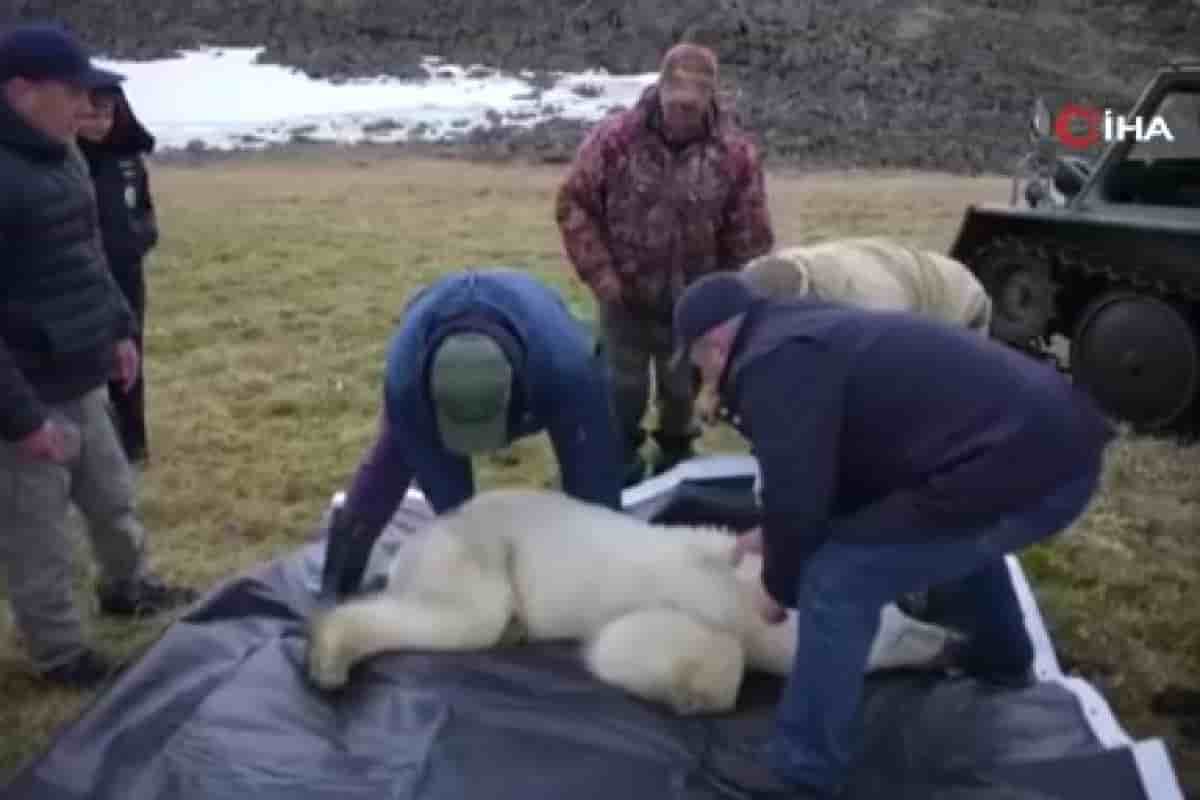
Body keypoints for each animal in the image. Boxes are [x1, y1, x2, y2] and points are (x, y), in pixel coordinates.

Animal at [304, 491, 960, 714]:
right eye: (898, 633)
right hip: (478, 556)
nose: (956, 642)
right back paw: (329, 661)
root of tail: (421, 536)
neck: (739, 588)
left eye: (907, 610)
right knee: (468, 618)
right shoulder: (690, 604)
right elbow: (631, 642)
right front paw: (691, 693)